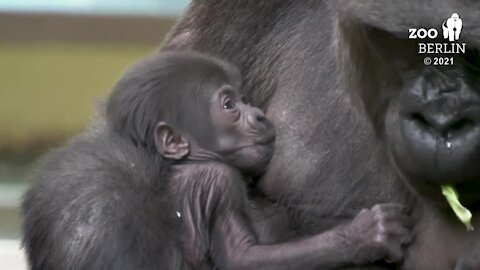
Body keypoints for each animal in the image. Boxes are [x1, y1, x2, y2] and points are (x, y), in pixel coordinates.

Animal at [106, 51, 412, 270]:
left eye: (243, 98)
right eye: (229, 105)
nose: (259, 115)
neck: (184, 162)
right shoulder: (219, 180)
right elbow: (243, 259)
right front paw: (362, 237)